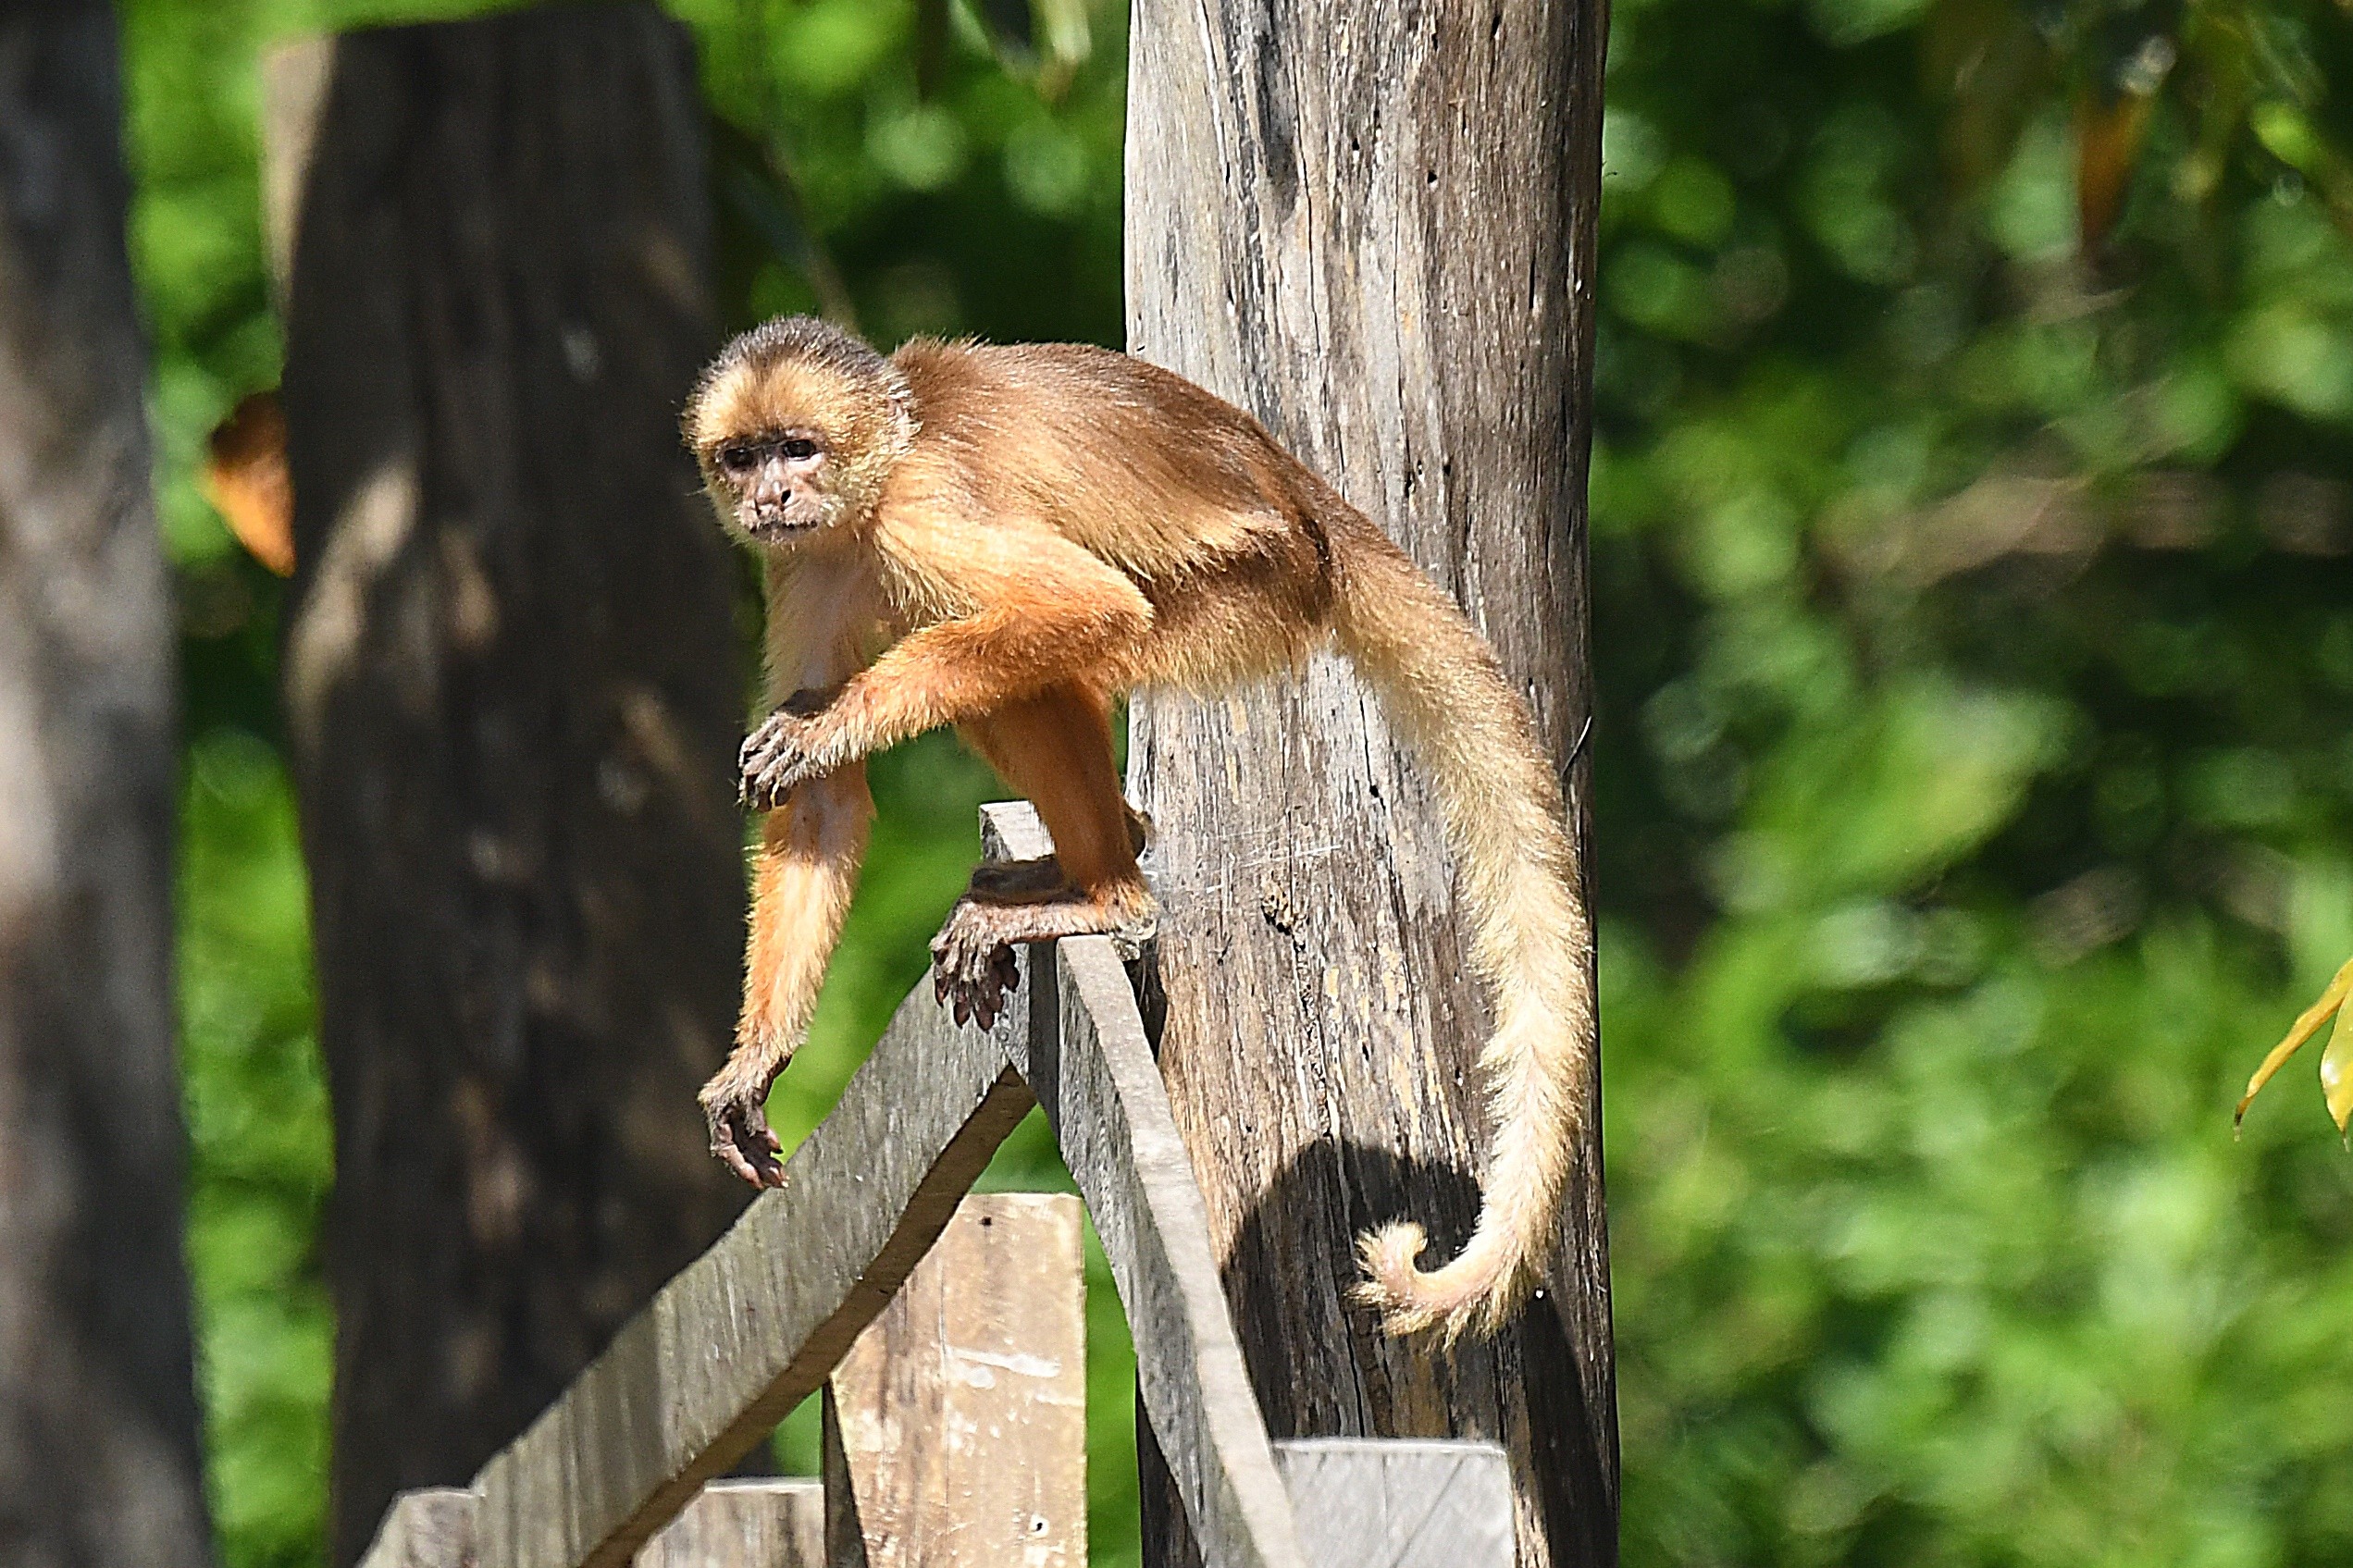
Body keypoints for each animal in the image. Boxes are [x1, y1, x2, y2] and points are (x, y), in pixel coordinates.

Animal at [681, 315, 1594, 1342]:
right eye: (745, 455)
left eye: (798, 447)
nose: (772, 494)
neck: (872, 485)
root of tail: (1310, 506)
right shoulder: (799, 561)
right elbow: (822, 803)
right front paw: (759, 1057)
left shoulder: (918, 512)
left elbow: (1081, 604)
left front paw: (829, 723)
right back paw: (1097, 854)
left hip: (1244, 595)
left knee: (1034, 643)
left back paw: (1109, 898)